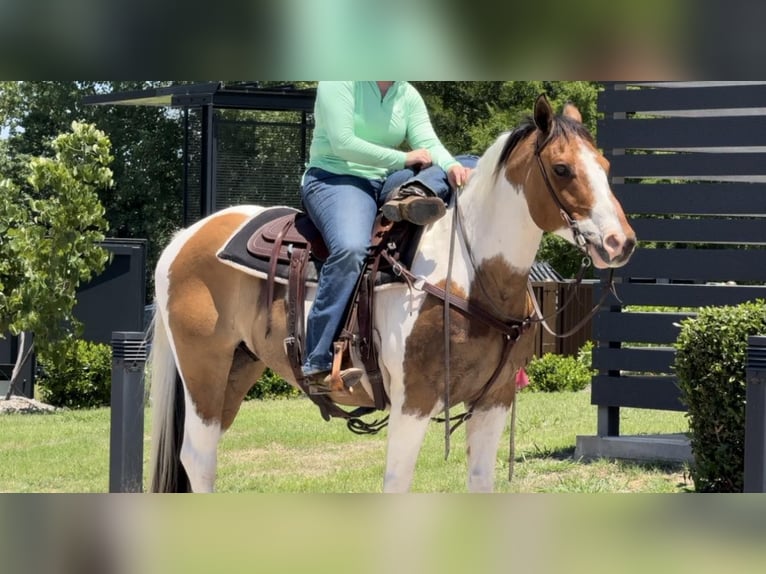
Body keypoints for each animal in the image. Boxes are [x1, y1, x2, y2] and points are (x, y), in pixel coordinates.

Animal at [148, 95, 636, 496]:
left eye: (605, 166)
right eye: (561, 168)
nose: (621, 242)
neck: (470, 274)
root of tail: (185, 238)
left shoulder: (494, 402)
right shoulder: (413, 403)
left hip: (237, 370)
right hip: (204, 370)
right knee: (197, 457)